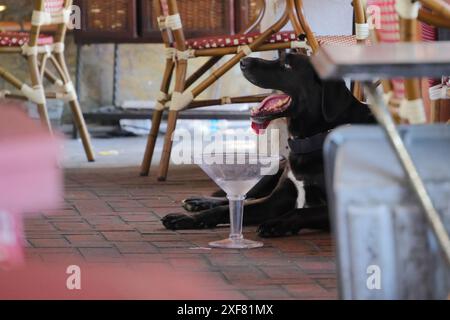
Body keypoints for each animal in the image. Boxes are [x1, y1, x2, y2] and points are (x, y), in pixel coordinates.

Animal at [161, 53, 372, 238]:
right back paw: (198, 202)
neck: (310, 139)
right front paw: (187, 218)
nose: (243, 61)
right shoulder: (275, 199)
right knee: (241, 195)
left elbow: (300, 212)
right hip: (273, 171)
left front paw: (277, 223)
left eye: (287, 65)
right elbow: (226, 209)